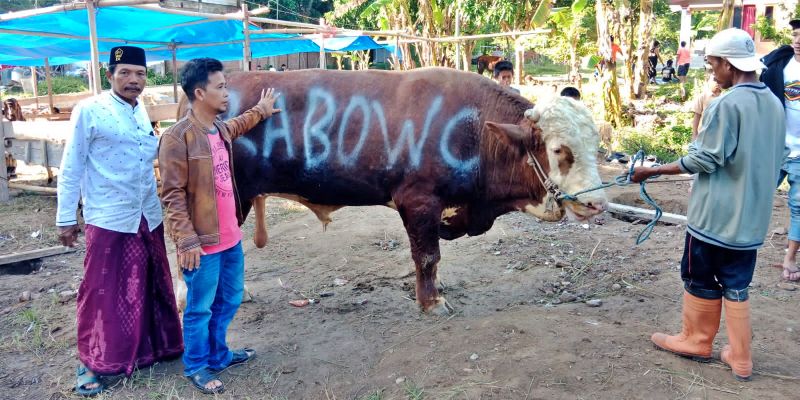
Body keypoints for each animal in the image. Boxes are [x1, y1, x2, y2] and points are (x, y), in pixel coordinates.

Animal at [178, 67, 608, 314]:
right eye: (558, 149)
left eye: (597, 144)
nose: (597, 202)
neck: (472, 130)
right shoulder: (418, 200)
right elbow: (428, 256)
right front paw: (431, 302)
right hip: (229, 198)